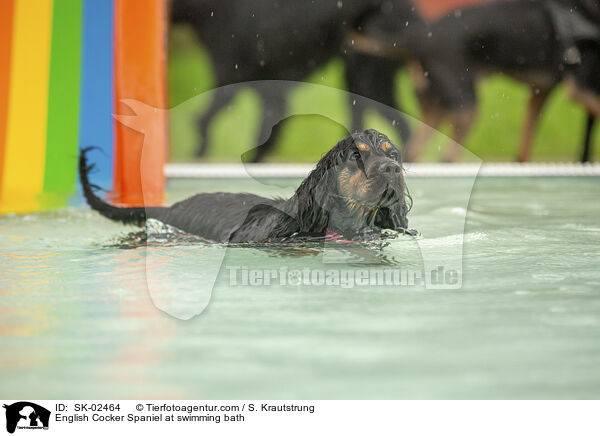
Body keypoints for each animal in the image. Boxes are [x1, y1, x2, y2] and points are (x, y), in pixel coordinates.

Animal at [171, 0, 420, 162]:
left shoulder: (230, 75)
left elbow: (203, 121)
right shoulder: (267, 90)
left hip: (366, 78)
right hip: (365, 81)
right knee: (402, 130)